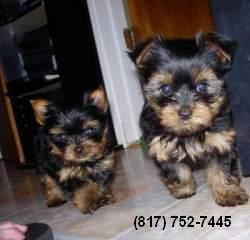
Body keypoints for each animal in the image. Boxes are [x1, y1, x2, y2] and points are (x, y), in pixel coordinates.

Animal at [30, 86, 114, 214]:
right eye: (63, 136)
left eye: (88, 130)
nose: (78, 149)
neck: (84, 162)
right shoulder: (68, 173)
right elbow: (84, 185)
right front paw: (92, 200)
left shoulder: (103, 166)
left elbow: (100, 181)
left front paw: (105, 196)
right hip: (42, 162)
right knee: (48, 180)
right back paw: (55, 198)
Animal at [130, 32, 249, 206]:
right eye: (166, 89)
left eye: (202, 86)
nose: (184, 113)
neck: (189, 132)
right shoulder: (161, 146)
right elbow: (175, 168)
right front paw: (184, 188)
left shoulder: (221, 139)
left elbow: (221, 168)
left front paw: (227, 192)